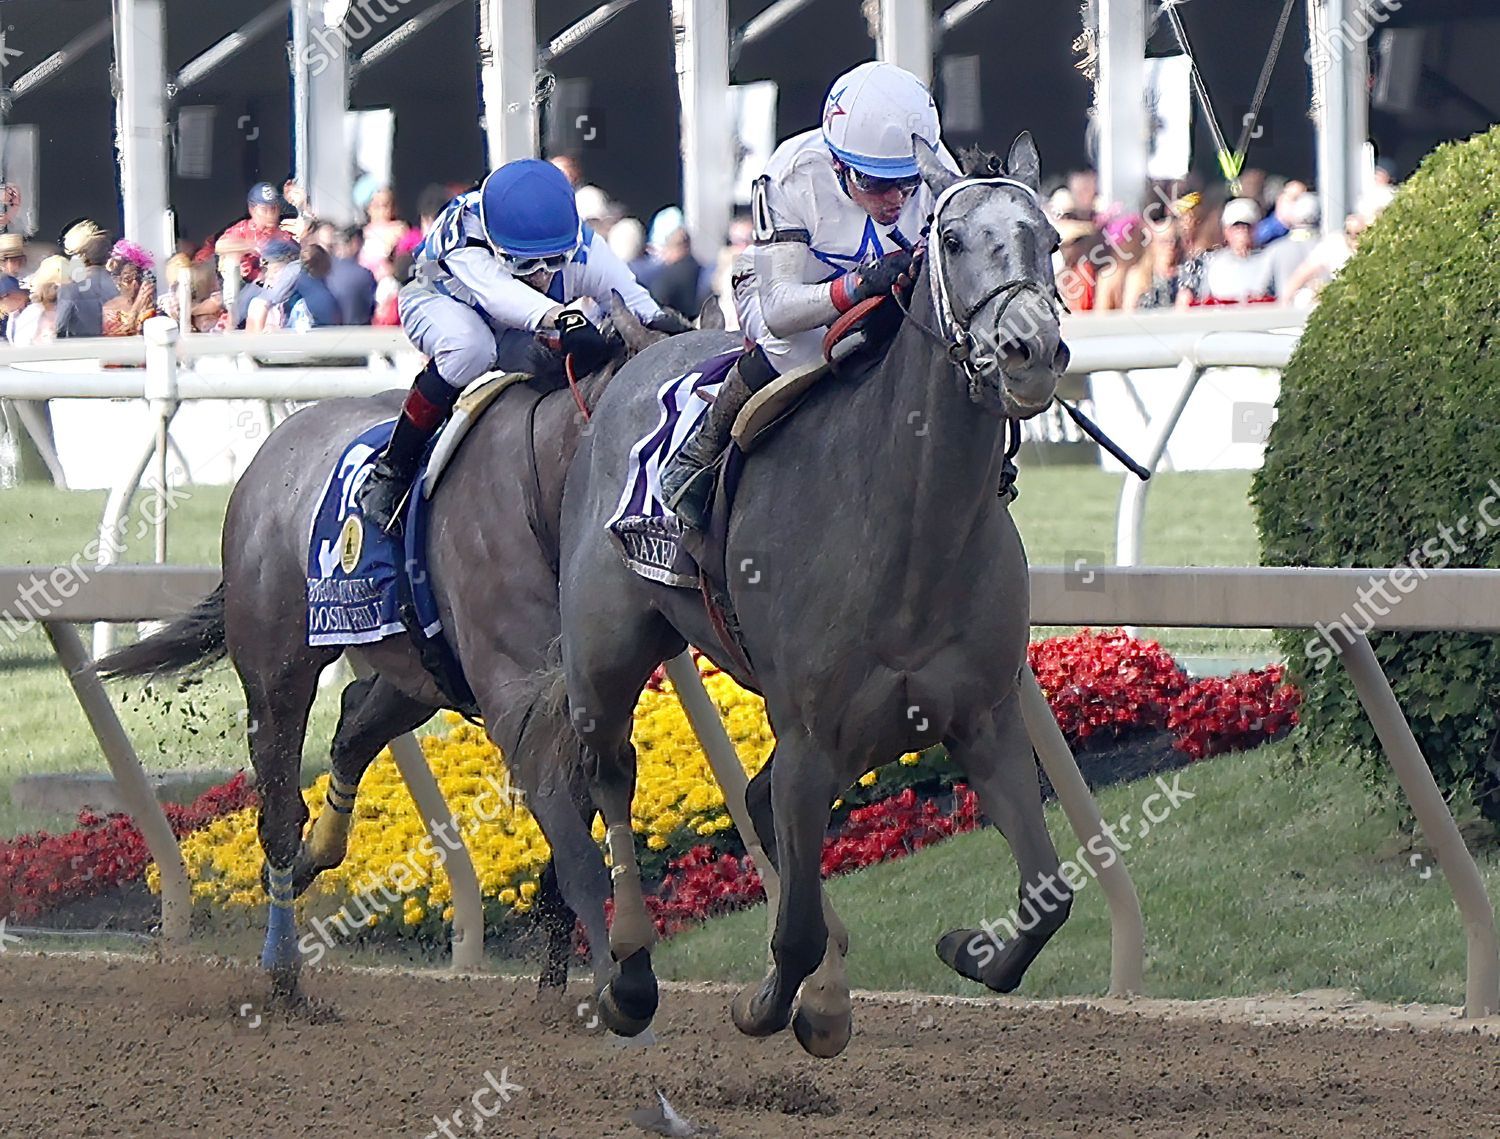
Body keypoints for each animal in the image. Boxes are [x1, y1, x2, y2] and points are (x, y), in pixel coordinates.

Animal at [93, 303, 681, 996]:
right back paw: (284, 969)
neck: (544, 490)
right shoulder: (522, 701)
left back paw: (318, 855)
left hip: (418, 675)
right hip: (277, 666)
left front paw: (560, 978)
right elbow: (573, 839)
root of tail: (272, 453)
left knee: (352, 722)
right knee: (279, 806)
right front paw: (610, 986)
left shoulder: (581, 699)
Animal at [558, 135, 1074, 1062]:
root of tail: (633, 356)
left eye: (1048, 240)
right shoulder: (808, 734)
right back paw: (629, 974)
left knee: (757, 802)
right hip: (604, 659)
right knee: (611, 775)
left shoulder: (981, 718)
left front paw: (964, 950)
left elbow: (1049, 892)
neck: (909, 531)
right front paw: (769, 1003)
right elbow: (790, 929)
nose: (1030, 349)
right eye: (951, 242)